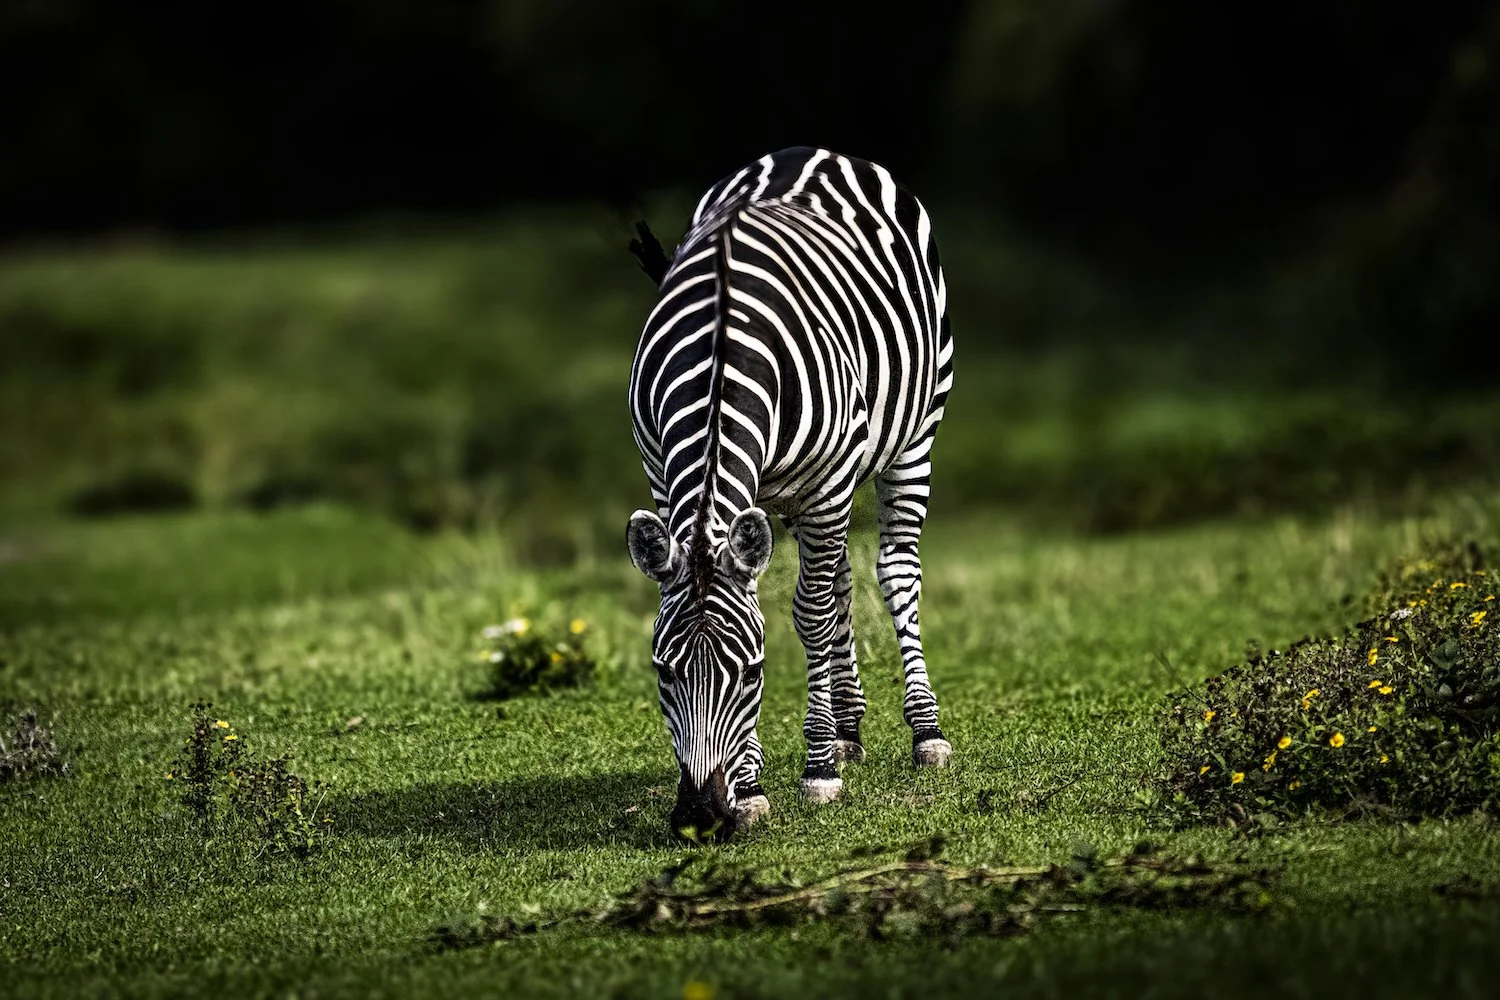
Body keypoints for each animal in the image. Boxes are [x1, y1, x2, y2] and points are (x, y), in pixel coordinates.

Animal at [625, 146, 954, 841]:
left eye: (752, 674)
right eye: (663, 672)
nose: (701, 817)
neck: (720, 358)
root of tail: (816, 151)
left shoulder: (828, 479)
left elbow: (809, 615)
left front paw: (818, 769)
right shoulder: (662, 478)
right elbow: (806, 606)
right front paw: (752, 785)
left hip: (911, 438)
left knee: (892, 575)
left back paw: (923, 731)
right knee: (841, 585)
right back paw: (849, 727)